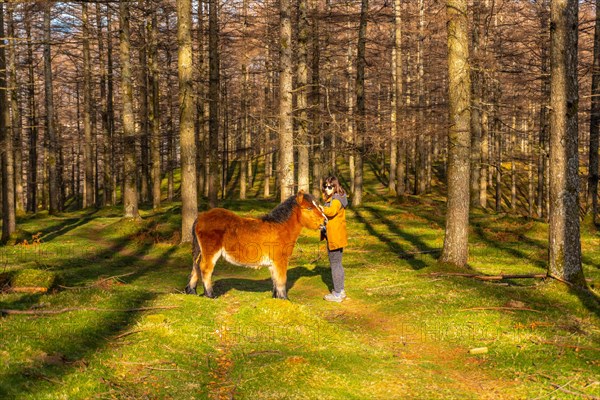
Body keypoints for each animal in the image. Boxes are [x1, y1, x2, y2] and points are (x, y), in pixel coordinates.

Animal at [186, 191, 328, 300]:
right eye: (309, 208)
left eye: (318, 206)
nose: (325, 221)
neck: (279, 228)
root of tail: (201, 217)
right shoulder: (280, 261)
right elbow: (282, 280)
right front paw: (284, 299)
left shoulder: (273, 264)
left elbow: (275, 280)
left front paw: (276, 298)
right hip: (210, 252)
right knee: (205, 268)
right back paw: (210, 295)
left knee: (195, 266)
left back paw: (191, 291)